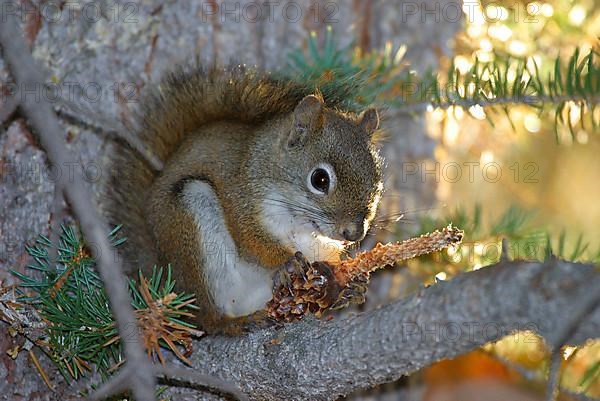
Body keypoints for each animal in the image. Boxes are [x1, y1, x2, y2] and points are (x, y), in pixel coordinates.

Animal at [103, 65, 384, 332]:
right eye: (320, 179)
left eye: (377, 183)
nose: (354, 233)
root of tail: (161, 272)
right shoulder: (237, 196)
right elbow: (251, 240)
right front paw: (287, 263)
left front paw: (348, 283)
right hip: (190, 218)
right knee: (207, 318)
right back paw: (233, 323)